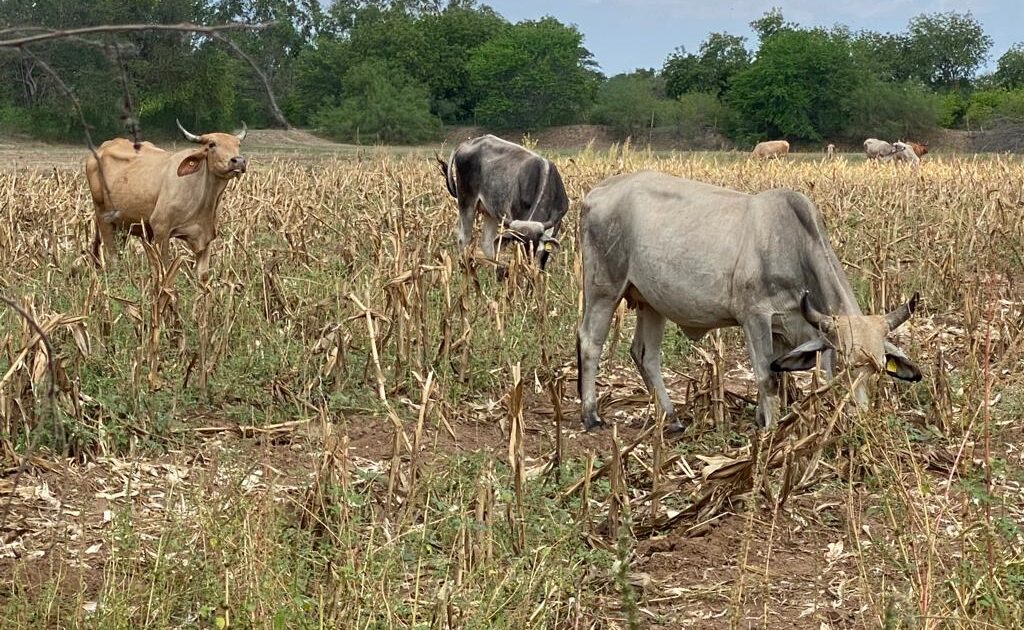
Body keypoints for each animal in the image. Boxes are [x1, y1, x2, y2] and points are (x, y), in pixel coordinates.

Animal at [86, 119, 247, 280]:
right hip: (103, 217)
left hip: (123, 224)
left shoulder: (206, 238)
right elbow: (164, 269)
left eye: (238, 145)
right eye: (212, 144)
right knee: (112, 256)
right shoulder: (160, 229)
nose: (238, 161)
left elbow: (202, 275)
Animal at [436, 134, 573, 270]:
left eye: (533, 243)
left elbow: (543, 257)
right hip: (466, 201)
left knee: (487, 242)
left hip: (489, 212)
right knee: (463, 238)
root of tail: (466, 143)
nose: (527, 264)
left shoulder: (556, 224)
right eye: (518, 243)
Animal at [577, 170, 921, 432]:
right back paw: (591, 415)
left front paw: (764, 418)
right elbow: (767, 377)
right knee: (590, 342)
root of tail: (597, 193)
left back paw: (671, 419)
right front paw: (770, 430)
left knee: (645, 354)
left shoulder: (785, 328)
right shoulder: (755, 317)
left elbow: (778, 376)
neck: (792, 244)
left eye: (878, 369)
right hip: (603, 288)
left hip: (651, 301)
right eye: (844, 366)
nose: (859, 418)